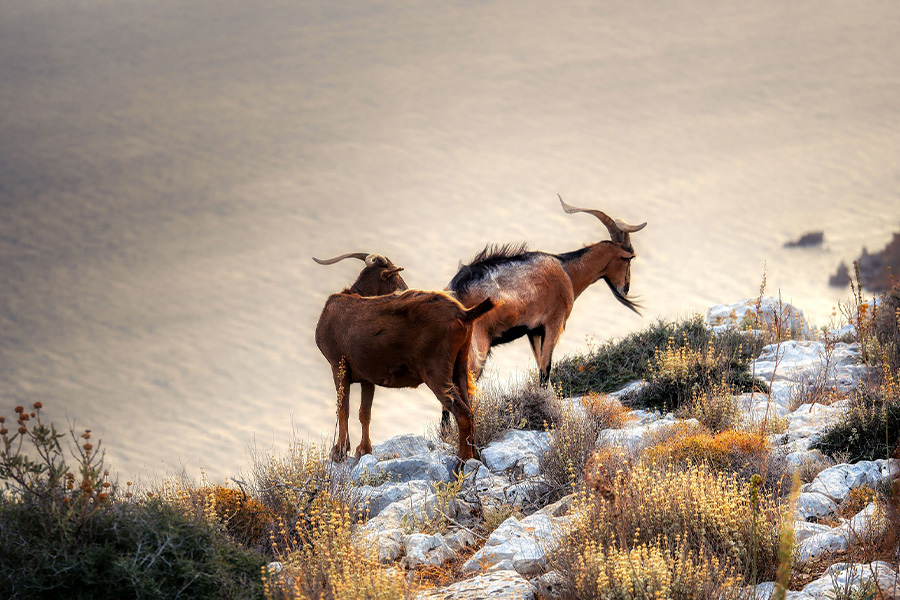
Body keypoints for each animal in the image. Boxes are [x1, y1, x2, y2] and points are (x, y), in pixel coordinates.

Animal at [316, 288, 495, 462]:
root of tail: (464, 314)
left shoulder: (338, 364)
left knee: (462, 412)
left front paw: (339, 452)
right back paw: (475, 455)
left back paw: (463, 460)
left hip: (436, 369)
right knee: (470, 409)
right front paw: (364, 450)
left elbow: (343, 409)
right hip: (461, 365)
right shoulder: (367, 377)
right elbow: (364, 413)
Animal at [447, 195, 646, 389]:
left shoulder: (533, 330)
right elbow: (545, 370)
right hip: (477, 347)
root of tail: (455, 291)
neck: (567, 270)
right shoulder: (553, 324)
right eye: (629, 258)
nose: (625, 289)